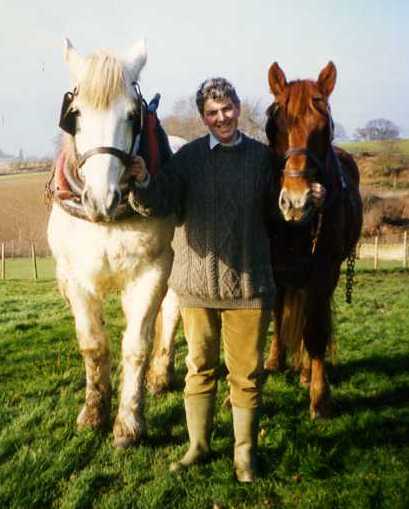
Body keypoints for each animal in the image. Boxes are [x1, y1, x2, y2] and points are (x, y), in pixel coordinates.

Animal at [47, 37, 178, 446]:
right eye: (75, 115)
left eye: (132, 116)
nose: (99, 199)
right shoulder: (75, 279)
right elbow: (93, 344)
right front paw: (93, 413)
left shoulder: (151, 272)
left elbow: (136, 345)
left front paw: (129, 423)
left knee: (172, 314)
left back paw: (161, 374)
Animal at [262, 62, 362, 416]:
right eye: (275, 127)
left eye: (323, 128)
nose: (296, 202)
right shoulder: (275, 267)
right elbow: (276, 314)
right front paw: (272, 362)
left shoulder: (324, 270)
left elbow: (316, 328)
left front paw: (319, 394)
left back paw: (307, 370)